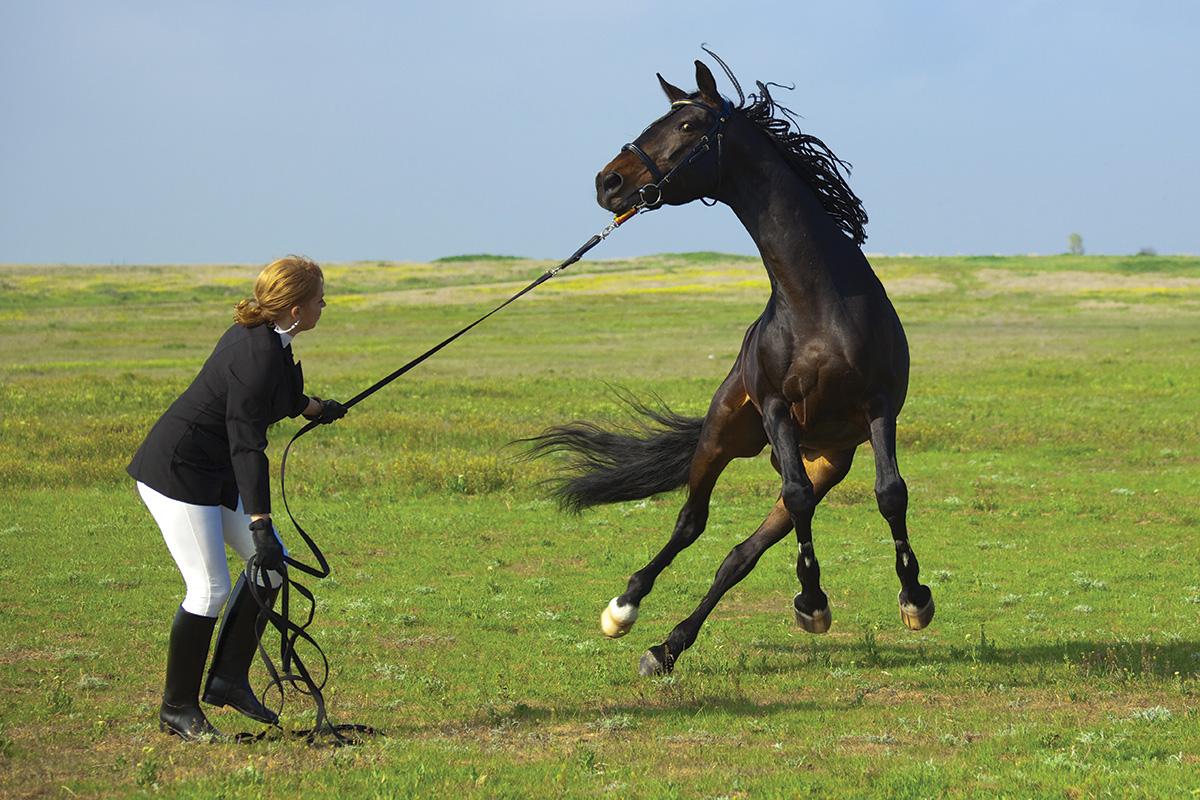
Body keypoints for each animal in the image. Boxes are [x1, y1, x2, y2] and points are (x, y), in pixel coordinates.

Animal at [530, 59, 931, 681]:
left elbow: (890, 493)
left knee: (739, 554)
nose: (608, 182)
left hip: (825, 460)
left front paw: (913, 598)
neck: (817, 304)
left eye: (689, 124)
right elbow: (792, 497)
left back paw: (667, 646)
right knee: (691, 521)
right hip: (723, 435)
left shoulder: (878, 406)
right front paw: (812, 601)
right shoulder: (776, 409)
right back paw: (625, 609)